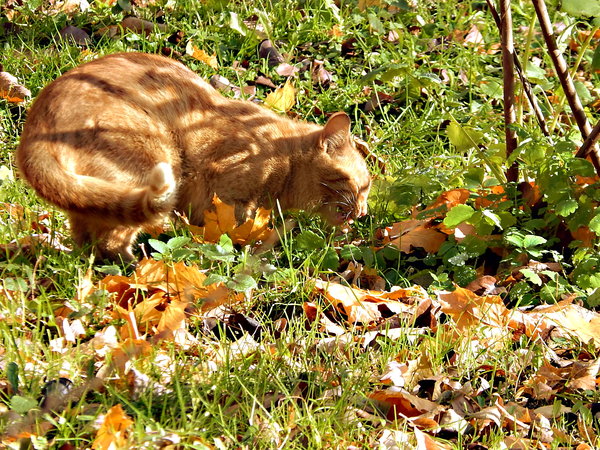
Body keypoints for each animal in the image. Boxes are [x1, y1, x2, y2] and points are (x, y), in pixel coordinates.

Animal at [16, 53, 370, 260]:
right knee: (111, 243)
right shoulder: (226, 192)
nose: (364, 212)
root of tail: (35, 125)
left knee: (87, 243)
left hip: (92, 199)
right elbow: (231, 234)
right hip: (155, 157)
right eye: (360, 185)